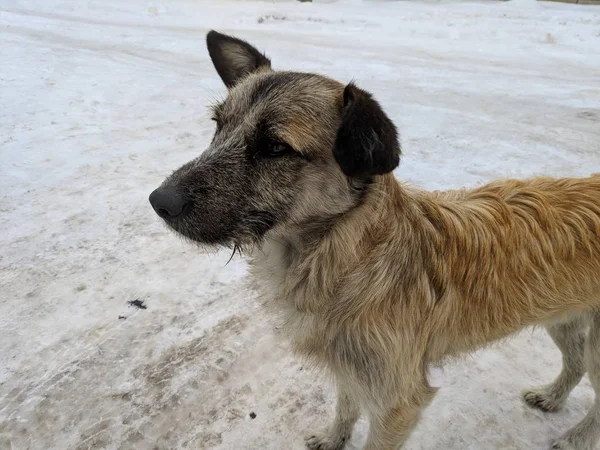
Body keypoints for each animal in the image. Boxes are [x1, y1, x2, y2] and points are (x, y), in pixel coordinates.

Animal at [150, 29, 600, 448]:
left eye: (275, 147)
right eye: (218, 125)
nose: (159, 201)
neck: (345, 256)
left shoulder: (398, 400)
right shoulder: (351, 368)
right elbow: (346, 405)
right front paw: (334, 438)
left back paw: (575, 437)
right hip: (562, 317)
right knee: (575, 363)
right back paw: (553, 397)